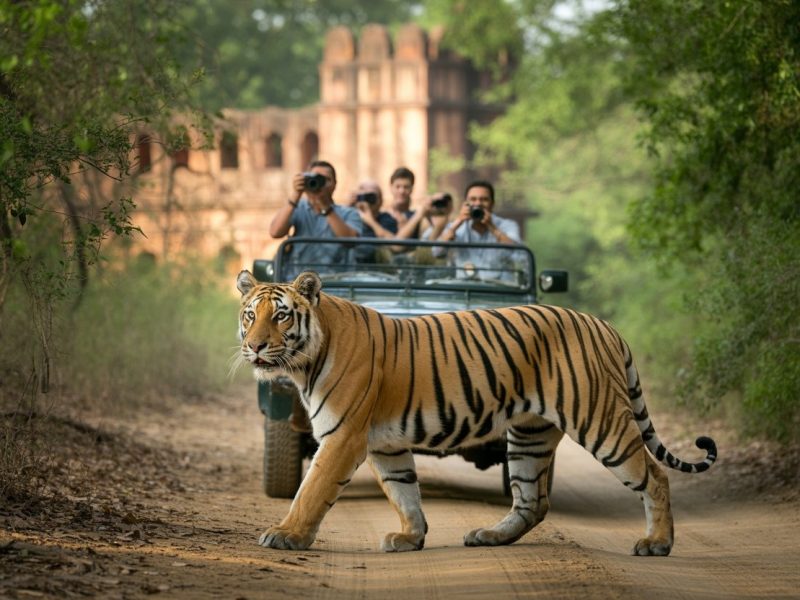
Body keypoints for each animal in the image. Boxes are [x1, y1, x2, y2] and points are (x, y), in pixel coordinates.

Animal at [236, 270, 717, 556]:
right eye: (249, 316)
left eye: (281, 316)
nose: (255, 346)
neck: (305, 363)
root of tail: (605, 326)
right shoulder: (386, 445)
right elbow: (403, 492)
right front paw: (410, 537)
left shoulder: (342, 437)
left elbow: (312, 490)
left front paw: (287, 535)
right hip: (529, 435)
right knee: (532, 500)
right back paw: (490, 536)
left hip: (600, 421)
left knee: (655, 475)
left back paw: (656, 543)